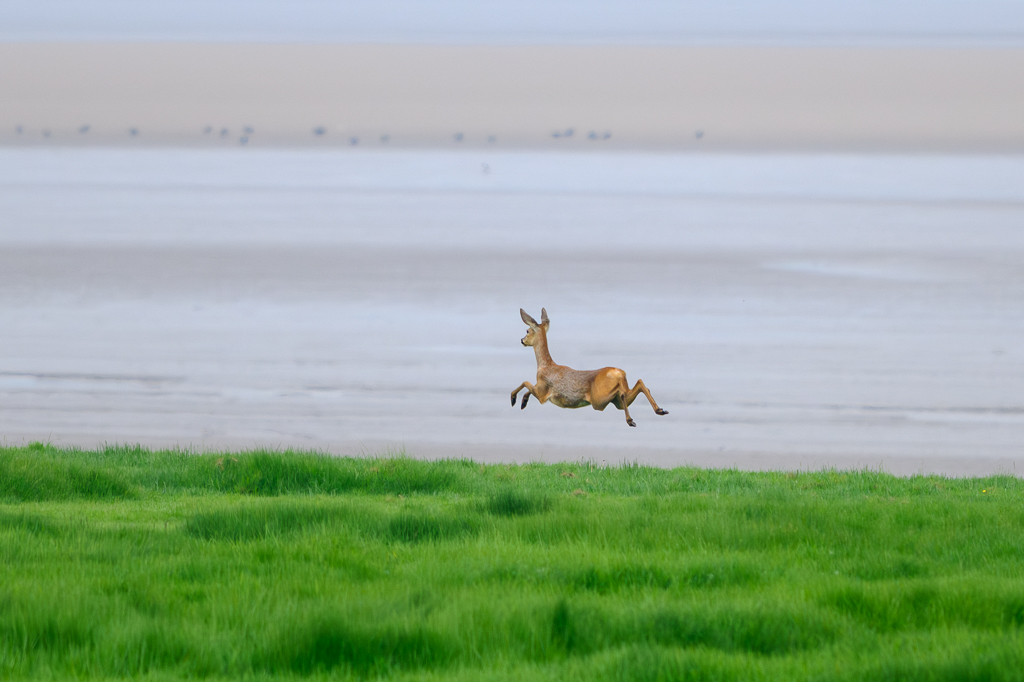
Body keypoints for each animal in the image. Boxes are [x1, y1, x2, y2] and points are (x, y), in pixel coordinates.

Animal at [512, 307, 671, 425]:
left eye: (527, 331)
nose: (521, 340)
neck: (545, 366)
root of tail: (619, 372)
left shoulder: (542, 393)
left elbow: (525, 383)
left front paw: (515, 400)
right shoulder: (540, 391)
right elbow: (527, 386)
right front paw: (523, 401)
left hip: (598, 400)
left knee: (623, 393)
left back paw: (631, 419)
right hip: (614, 400)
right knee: (637, 385)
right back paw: (659, 410)